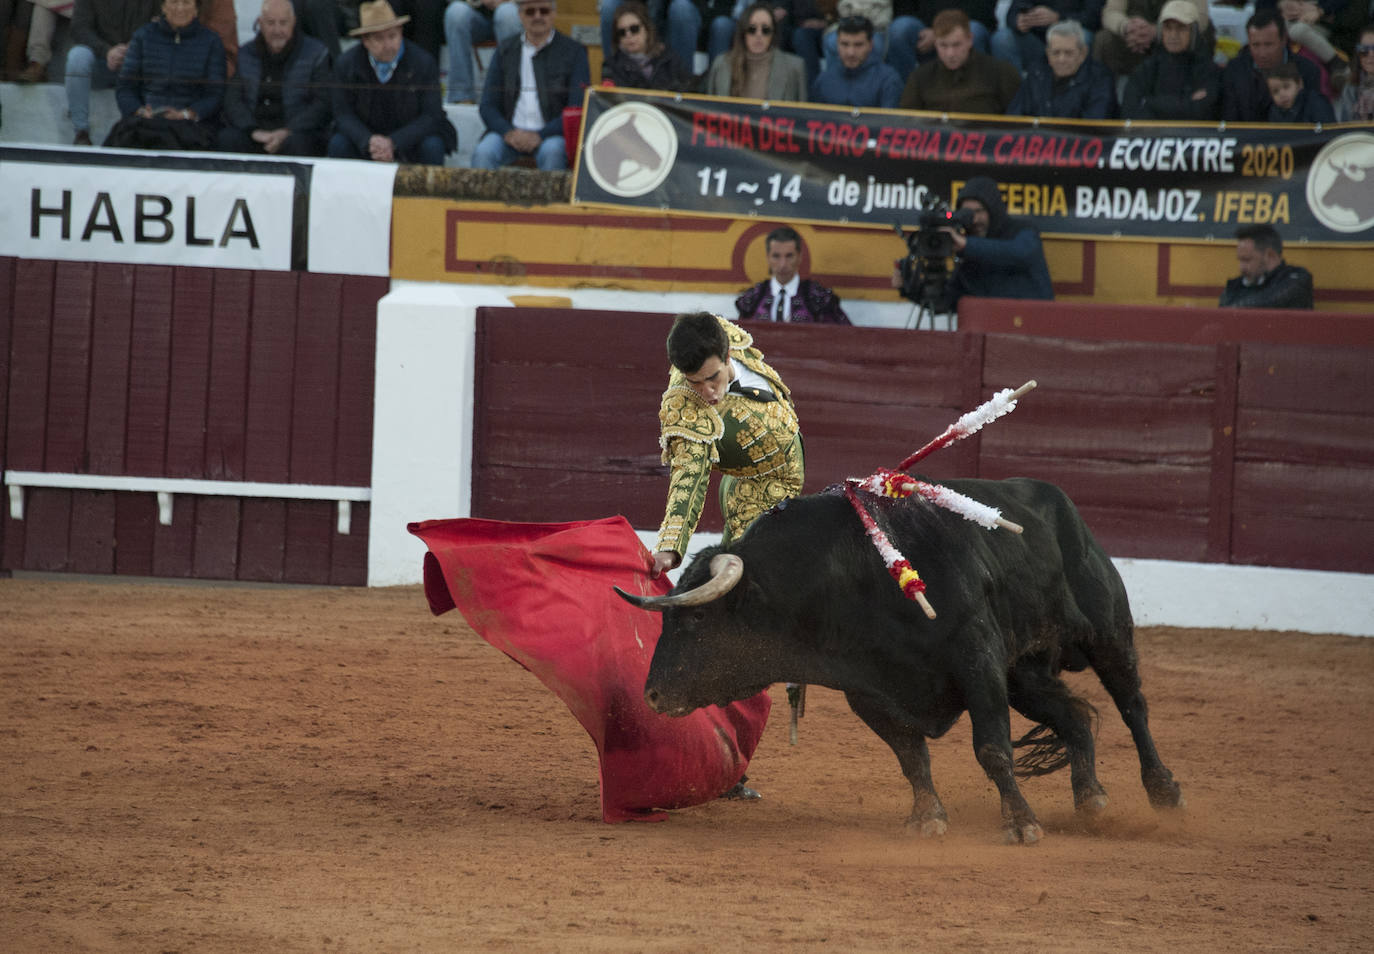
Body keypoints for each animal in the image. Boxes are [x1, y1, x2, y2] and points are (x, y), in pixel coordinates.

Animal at [618, 478, 1187, 846]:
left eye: (695, 619)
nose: (651, 695)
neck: (848, 572)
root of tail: (1061, 501)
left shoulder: (978, 661)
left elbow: (992, 749)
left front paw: (1021, 824)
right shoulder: (870, 691)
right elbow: (911, 756)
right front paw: (928, 818)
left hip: (1106, 630)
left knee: (1132, 705)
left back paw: (1164, 792)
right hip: (1023, 673)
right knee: (1074, 717)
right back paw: (1090, 799)